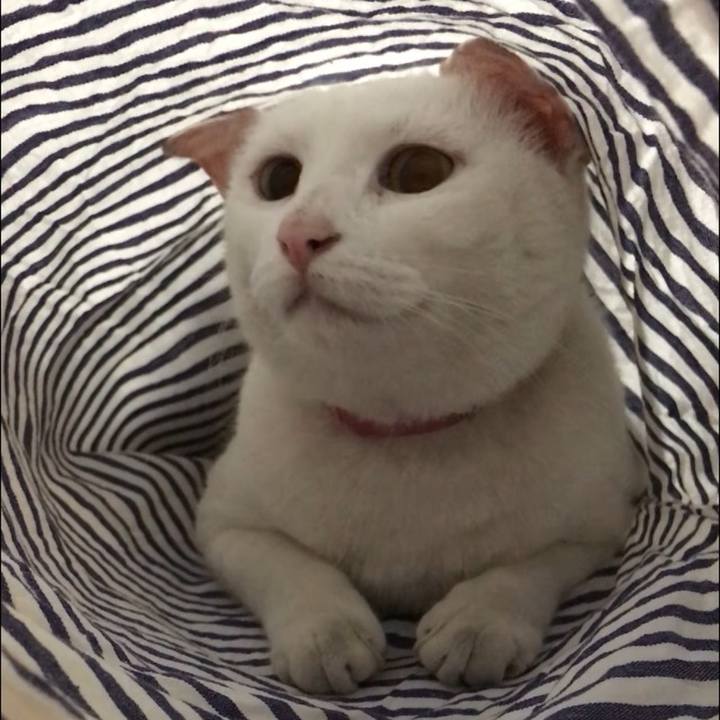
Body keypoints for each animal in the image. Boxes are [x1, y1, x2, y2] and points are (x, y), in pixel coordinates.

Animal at [165, 37, 644, 694]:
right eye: (278, 180)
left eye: (418, 172)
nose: (298, 235)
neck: (404, 437)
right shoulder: (224, 522)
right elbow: (289, 566)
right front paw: (326, 632)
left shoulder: (596, 529)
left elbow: (526, 567)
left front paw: (477, 623)